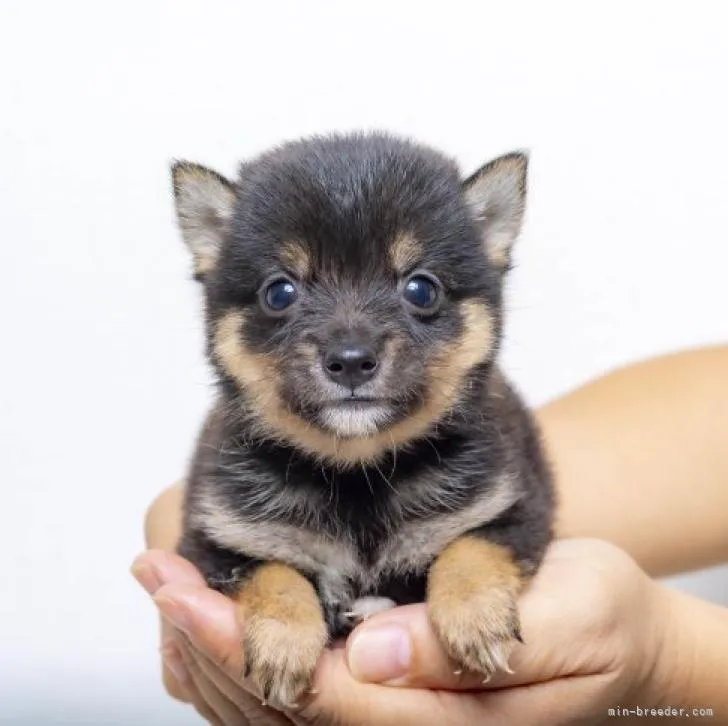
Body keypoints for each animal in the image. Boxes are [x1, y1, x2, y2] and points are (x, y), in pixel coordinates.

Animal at [171, 132, 556, 712]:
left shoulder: (515, 512)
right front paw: (284, 643)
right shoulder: (219, 542)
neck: (358, 477)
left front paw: (476, 618)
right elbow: (274, 571)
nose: (351, 360)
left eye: (421, 289)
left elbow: (468, 547)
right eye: (279, 292)